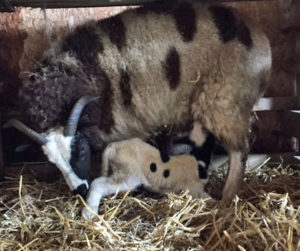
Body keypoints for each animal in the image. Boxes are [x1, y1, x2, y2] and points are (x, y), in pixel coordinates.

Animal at [4, 1, 272, 204]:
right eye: (52, 161)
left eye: (80, 151)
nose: (79, 190)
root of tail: (261, 39)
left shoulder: (120, 125)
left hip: (225, 101)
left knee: (239, 151)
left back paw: (228, 197)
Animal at [81, 136, 210, 219]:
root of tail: (113, 147)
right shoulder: (193, 188)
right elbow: (207, 198)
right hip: (128, 176)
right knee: (97, 183)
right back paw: (88, 213)